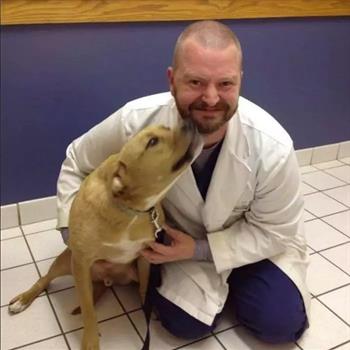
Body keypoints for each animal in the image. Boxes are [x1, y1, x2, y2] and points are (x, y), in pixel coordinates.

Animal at [8, 121, 197, 348]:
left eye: (166, 128)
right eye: (152, 141)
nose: (189, 122)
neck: (132, 210)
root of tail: (107, 280)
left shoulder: (145, 258)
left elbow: (144, 288)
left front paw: (146, 312)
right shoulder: (80, 261)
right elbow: (89, 312)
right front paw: (90, 341)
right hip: (67, 262)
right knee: (45, 279)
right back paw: (23, 300)